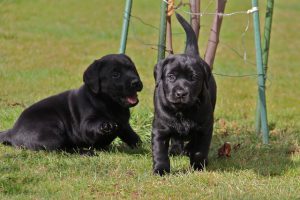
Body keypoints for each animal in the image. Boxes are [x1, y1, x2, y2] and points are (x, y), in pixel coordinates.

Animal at [0, 54, 143, 151]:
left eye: (133, 69)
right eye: (115, 74)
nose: (136, 82)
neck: (110, 104)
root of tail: (12, 131)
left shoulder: (124, 125)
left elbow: (132, 136)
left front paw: (141, 145)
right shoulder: (85, 124)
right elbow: (91, 125)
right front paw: (105, 125)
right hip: (52, 131)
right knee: (62, 149)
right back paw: (86, 152)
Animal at [152, 12, 216, 175]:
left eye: (193, 78)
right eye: (171, 77)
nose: (181, 93)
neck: (183, 110)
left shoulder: (205, 127)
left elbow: (200, 149)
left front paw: (198, 166)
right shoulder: (160, 128)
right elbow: (159, 151)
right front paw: (161, 170)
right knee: (176, 138)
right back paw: (176, 149)